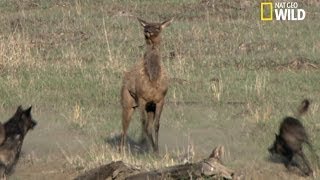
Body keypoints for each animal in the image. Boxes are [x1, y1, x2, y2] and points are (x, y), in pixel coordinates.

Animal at [119, 17, 174, 153]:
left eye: (158, 27)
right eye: (146, 25)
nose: (147, 30)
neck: (153, 79)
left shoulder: (160, 100)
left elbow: (156, 125)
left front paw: (156, 149)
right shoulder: (141, 98)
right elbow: (144, 124)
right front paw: (152, 149)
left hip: (149, 106)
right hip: (127, 101)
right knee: (125, 125)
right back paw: (122, 149)